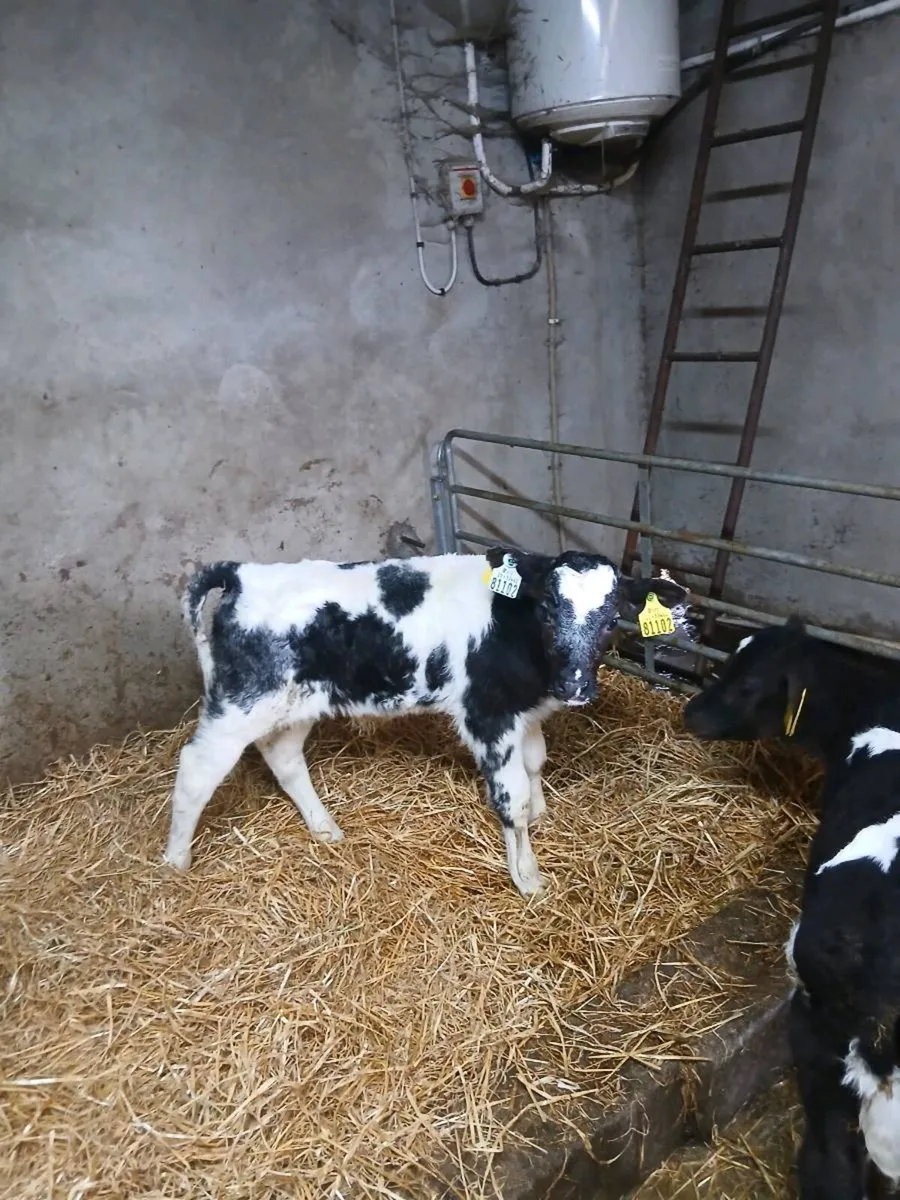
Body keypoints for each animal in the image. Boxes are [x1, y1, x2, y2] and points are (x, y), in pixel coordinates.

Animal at [162, 548, 685, 896]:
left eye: (612, 617)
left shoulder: (524, 711)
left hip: (297, 702)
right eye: (547, 610)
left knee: (284, 757)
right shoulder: (486, 715)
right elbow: (510, 797)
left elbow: (535, 761)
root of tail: (241, 573)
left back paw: (325, 828)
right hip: (241, 701)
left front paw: (541, 811)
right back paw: (175, 861)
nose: (575, 687)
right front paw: (528, 876)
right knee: (197, 769)